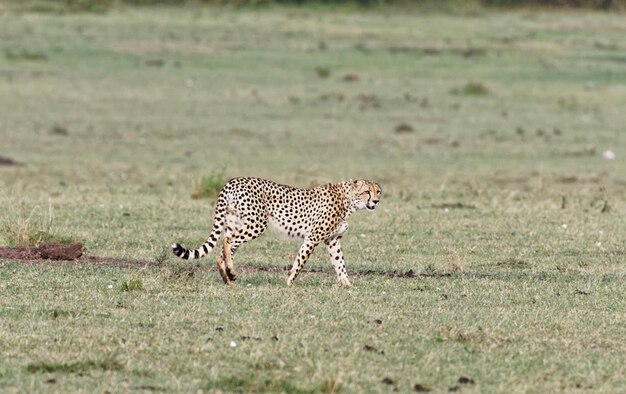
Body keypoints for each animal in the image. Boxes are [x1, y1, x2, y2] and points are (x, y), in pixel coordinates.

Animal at [173, 178, 382, 286]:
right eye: (367, 192)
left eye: (378, 191)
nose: (376, 201)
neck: (349, 200)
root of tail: (233, 181)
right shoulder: (313, 237)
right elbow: (300, 261)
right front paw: (289, 282)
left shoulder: (333, 240)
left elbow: (340, 264)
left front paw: (348, 285)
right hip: (257, 223)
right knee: (228, 241)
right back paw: (231, 272)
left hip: (235, 221)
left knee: (223, 248)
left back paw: (228, 277)